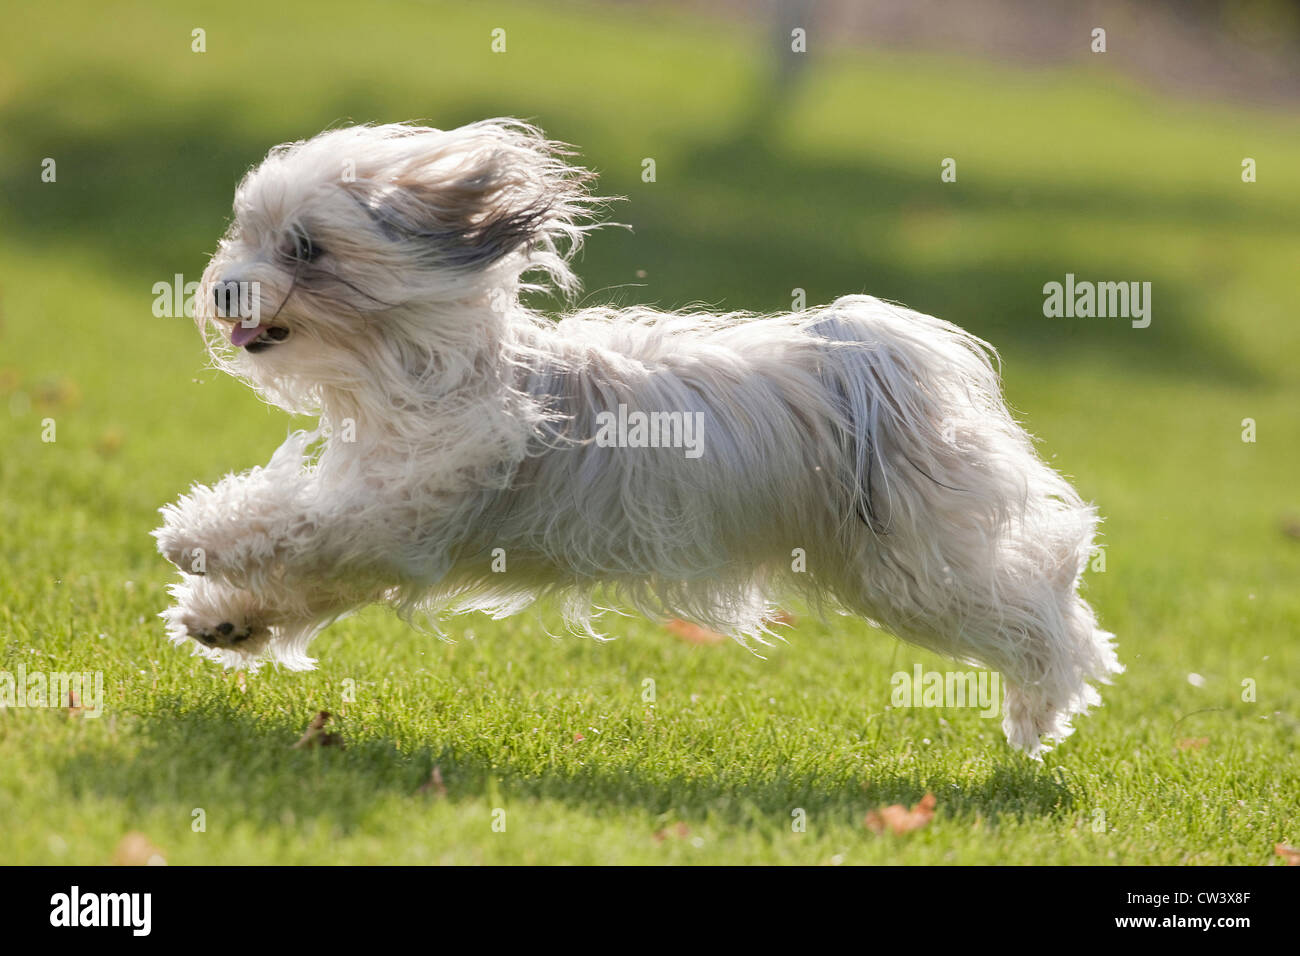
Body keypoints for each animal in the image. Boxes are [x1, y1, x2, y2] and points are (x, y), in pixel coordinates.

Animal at [157, 119, 1123, 754]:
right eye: (246, 234)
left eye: (306, 249)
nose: (227, 290)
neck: (423, 363)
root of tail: (874, 361)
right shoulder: (388, 533)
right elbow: (307, 576)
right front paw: (225, 621)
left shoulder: (405, 505)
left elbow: (295, 521)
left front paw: (198, 537)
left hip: (917, 568)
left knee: (1047, 605)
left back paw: (1041, 707)